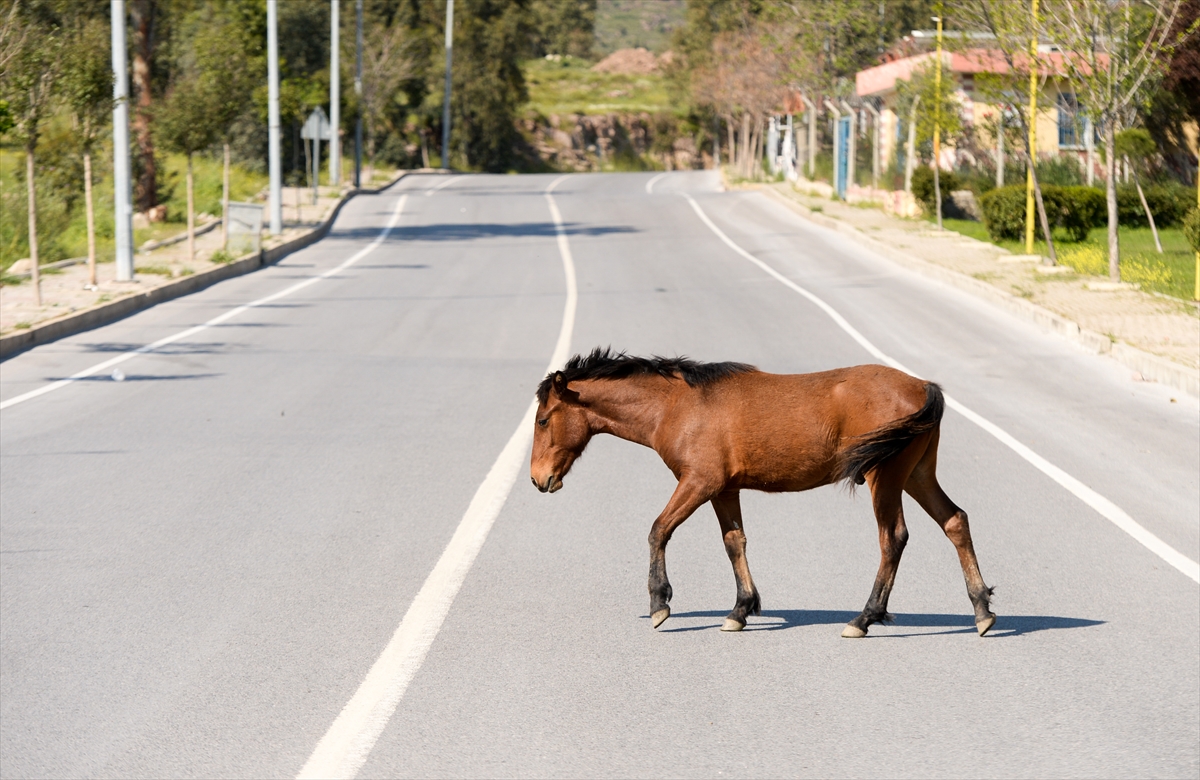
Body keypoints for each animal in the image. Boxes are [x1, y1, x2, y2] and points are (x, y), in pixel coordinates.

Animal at [532, 350, 993, 633]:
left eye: (543, 420)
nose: (538, 479)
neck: (677, 406)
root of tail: (922, 385)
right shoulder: (723, 489)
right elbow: (734, 542)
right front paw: (740, 609)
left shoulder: (698, 482)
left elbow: (658, 530)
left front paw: (659, 604)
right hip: (916, 475)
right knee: (955, 521)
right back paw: (982, 609)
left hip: (887, 478)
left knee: (892, 538)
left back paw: (864, 618)